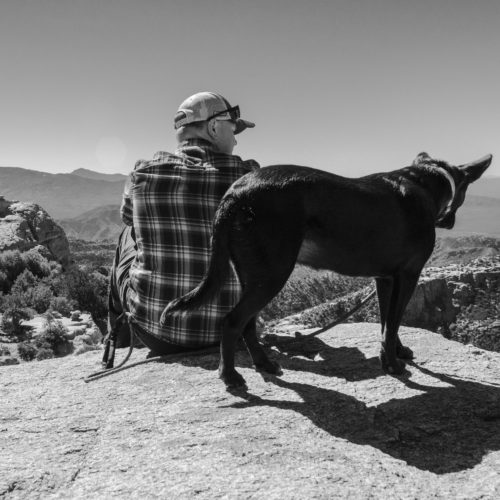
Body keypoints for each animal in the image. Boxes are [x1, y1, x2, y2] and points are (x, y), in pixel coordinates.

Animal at [161, 152, 492, 386]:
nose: (449, 222)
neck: (422, 180)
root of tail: (235, 193)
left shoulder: (385, 279)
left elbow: (387, 323)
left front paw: (395, 352)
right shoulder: (408, 275)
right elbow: (393, 322)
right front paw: (393, 364)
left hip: (253, 275)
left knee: (248, 323)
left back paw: (264, 364)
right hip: (273, 273)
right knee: (232, 321)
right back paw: (230, 377)